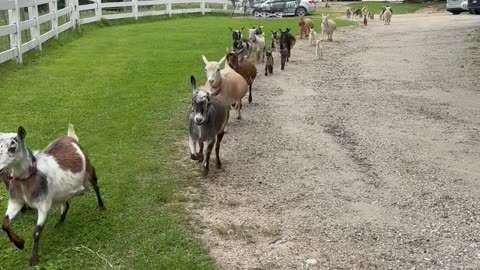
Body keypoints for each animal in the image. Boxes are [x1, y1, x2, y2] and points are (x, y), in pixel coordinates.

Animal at [0, 124, 105, 266]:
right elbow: (5, 223)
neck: (28, 180)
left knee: (96, 186)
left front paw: (33, 258)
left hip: (89, 169)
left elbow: (36, 231)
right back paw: (59, 222)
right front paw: (19, 243)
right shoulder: (16, 201)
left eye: (12, 147)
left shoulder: (43, 205)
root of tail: (69, 137)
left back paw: (101, 206)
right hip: (62, 192)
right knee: (66, 204)